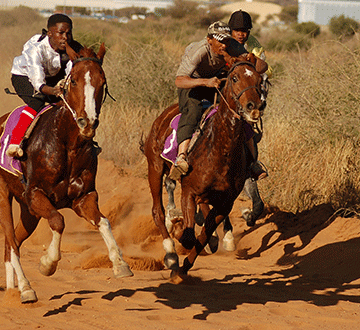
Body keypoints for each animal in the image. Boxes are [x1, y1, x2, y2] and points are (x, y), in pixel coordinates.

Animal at [0, 42, 133, 302]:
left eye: (102, 82)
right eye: (74, 81)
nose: (87, 123)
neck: (67, 145)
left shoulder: (83, 197)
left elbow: (104, 222)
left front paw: (120, 263)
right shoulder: (35, 195)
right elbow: (58, 221)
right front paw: (48, 263)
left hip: (28, 212)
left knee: (14, 243)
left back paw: (13, 287)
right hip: (4, 196)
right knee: (10, 240)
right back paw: (26, 288)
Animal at [143, 53, 268, 276]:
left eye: (258, 79)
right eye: (234, 78)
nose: (254, 106)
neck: (220, 149)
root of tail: (161, 118)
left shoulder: (226, 201)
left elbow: (204, 234)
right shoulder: (189, 191)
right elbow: (189, 236)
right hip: (155, 169)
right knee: (157, 211)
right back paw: (170, 252)